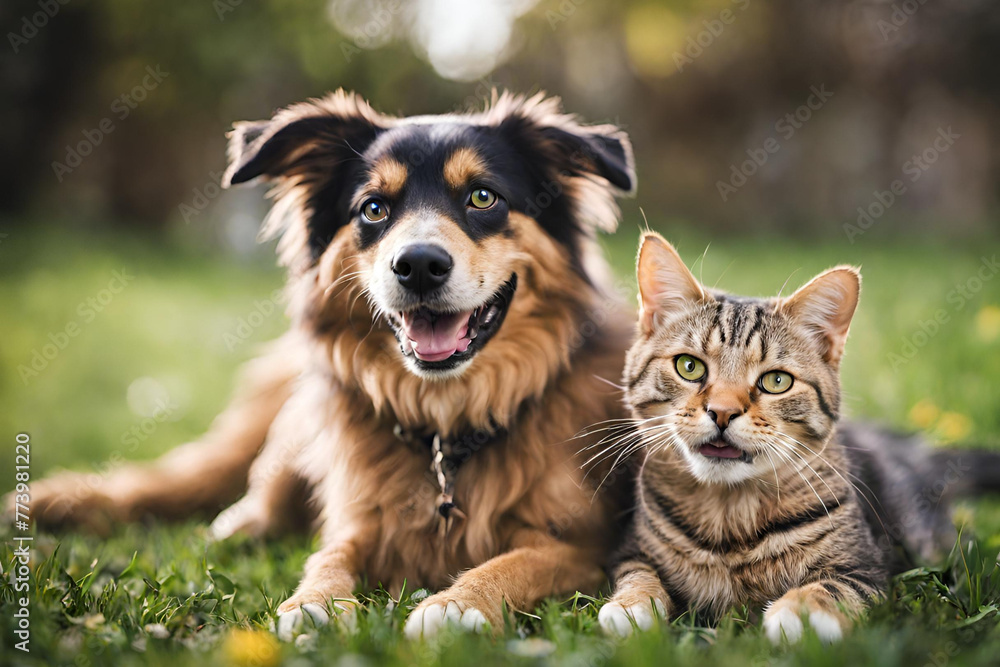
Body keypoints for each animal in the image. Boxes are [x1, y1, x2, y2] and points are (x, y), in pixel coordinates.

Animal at [25, 91, 640, 640]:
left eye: (483, 197)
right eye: (373, 208)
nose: (418, 264)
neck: (447, 424)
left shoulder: (580, 546)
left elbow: (513, 562)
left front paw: (459, 603)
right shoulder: (359, 516)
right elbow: (329, 554)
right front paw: (313, 604)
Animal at [596, 232, 996, 644]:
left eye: (776, 381)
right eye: (688, 366)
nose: (722, 412)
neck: (729, 516)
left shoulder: (866, 568)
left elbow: (832, 586)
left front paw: (799, 611)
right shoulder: (631, 552)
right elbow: (640, 575)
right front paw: (630, 606)